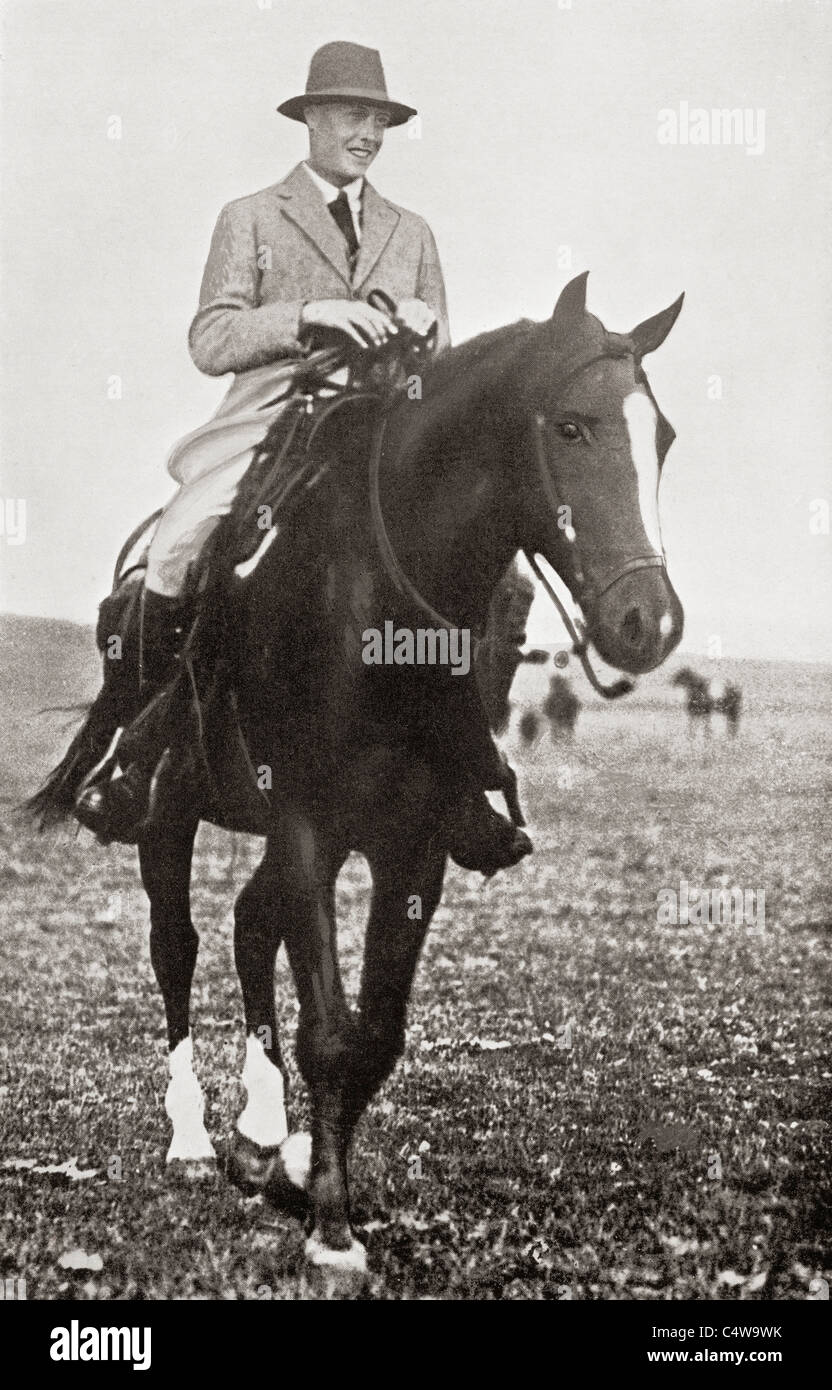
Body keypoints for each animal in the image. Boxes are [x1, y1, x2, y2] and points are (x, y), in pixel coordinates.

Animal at [30, 271, 683, 1289]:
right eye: (571, 426)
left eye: (665, 438)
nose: (647, 622)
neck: (374, 614)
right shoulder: (305, 823)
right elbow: (331, 1029)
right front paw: (331, 1230)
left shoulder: (411, 845)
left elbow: (371, 1033)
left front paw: (313, 1176)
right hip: (166, 817)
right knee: (177, 946)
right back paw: (192, 1135)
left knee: (248, 927)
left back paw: (266, 1133)